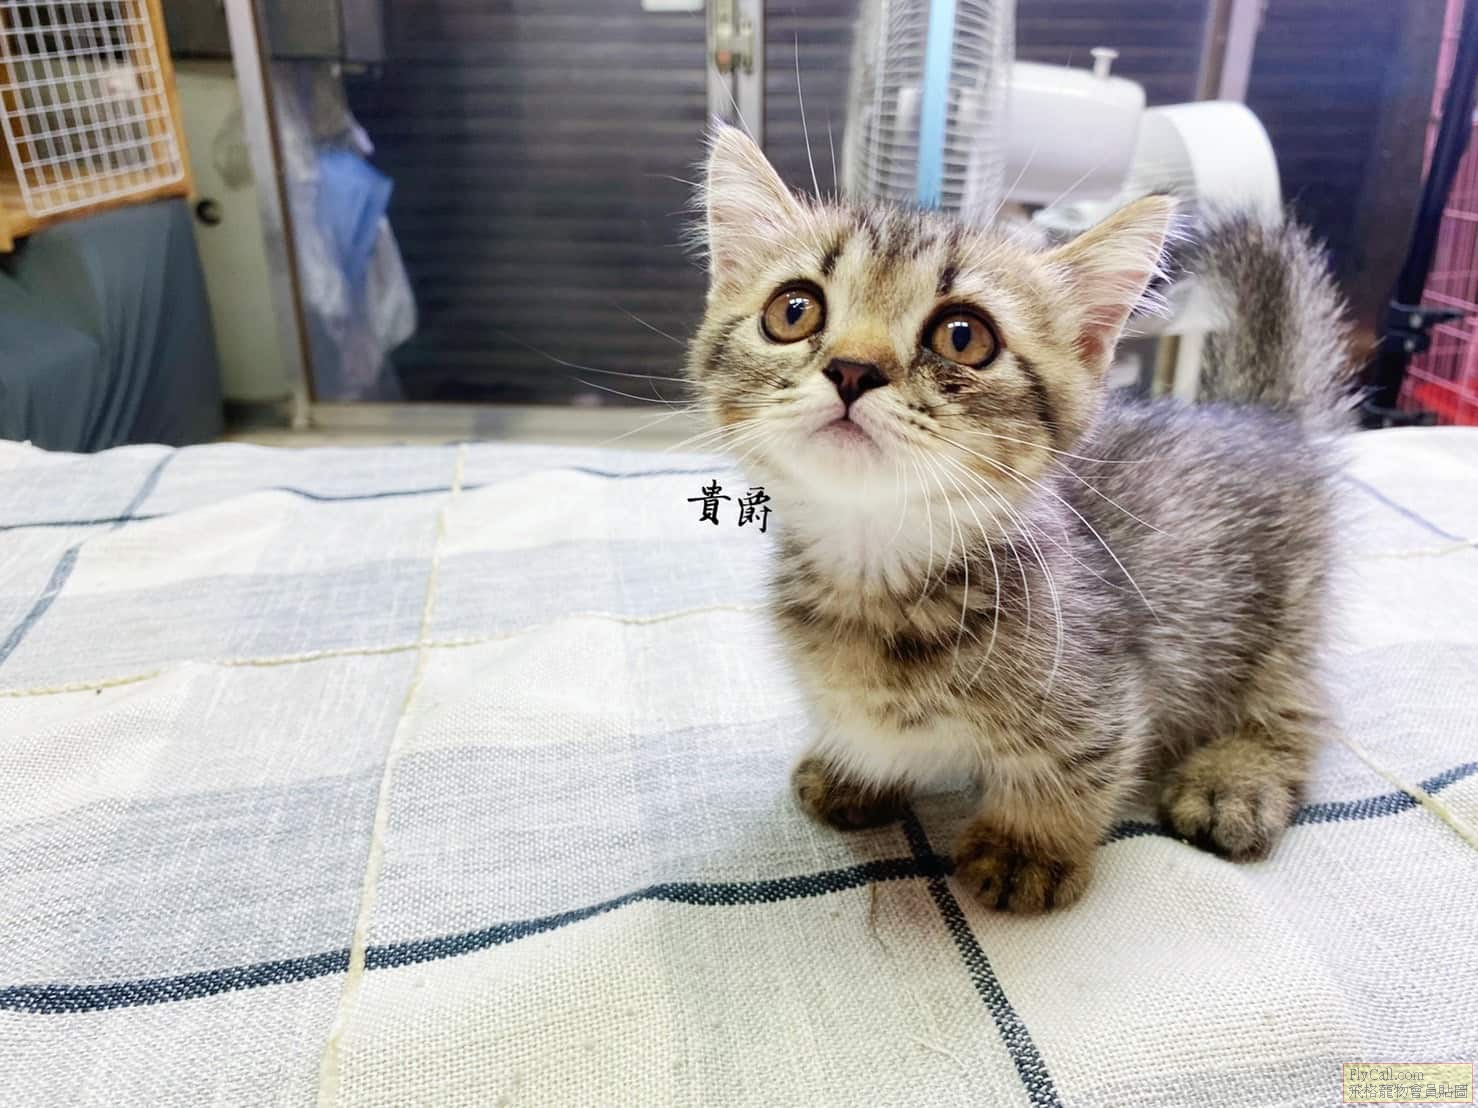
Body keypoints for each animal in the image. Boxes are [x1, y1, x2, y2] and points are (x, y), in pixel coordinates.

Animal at [684, 123, 1355, 913]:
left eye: (963, 336)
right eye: (793, 311)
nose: (852, 368)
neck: (875, 573)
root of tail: (1261, 413)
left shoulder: (1100, 686)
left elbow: (1075, 766)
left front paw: (1025, 847)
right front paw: (854, 770)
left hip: (1278, 616)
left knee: (1300, 707)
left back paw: (1235, 780)